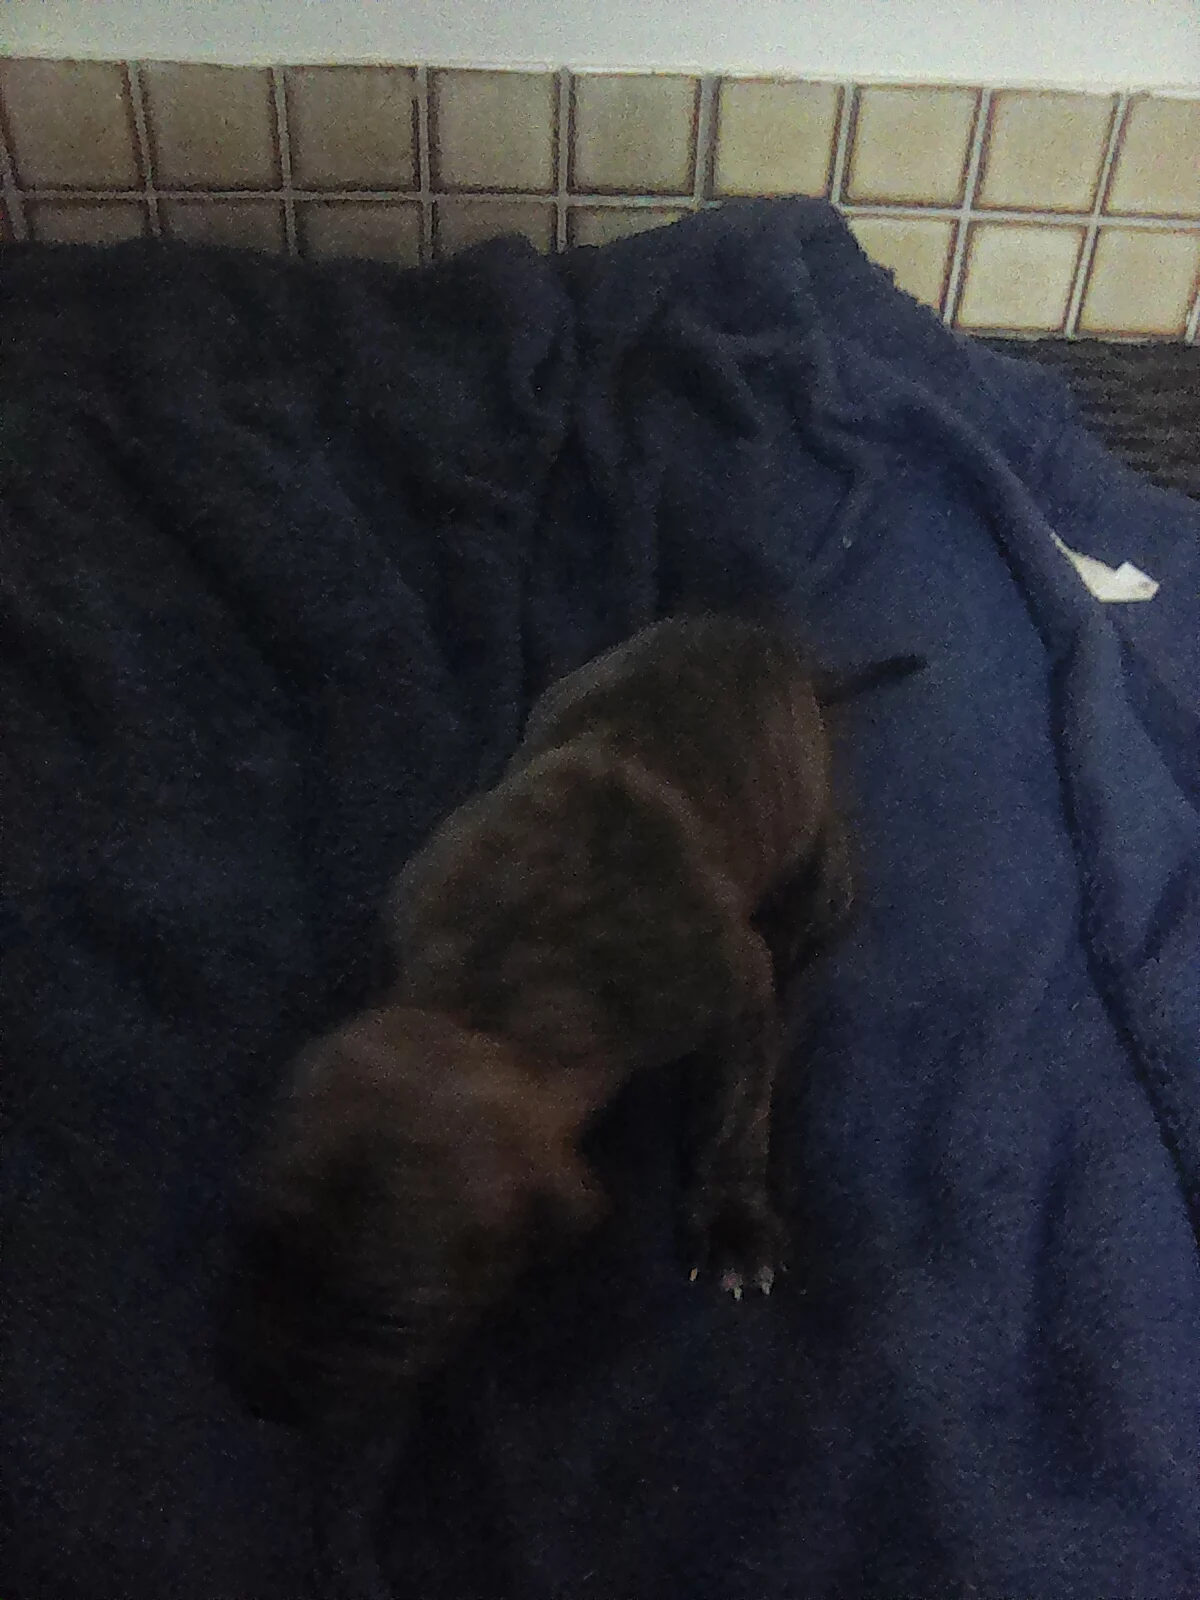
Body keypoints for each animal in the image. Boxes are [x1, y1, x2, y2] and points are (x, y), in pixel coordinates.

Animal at [227, 615, 921, 1425]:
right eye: (253, 1246)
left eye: (391, 1321)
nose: (259, 1396)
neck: (497, 987)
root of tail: (764, 635)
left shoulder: (733, 990)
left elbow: (734, 1114)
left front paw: (730, 1222)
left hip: (804, 819)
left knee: (825, 875)